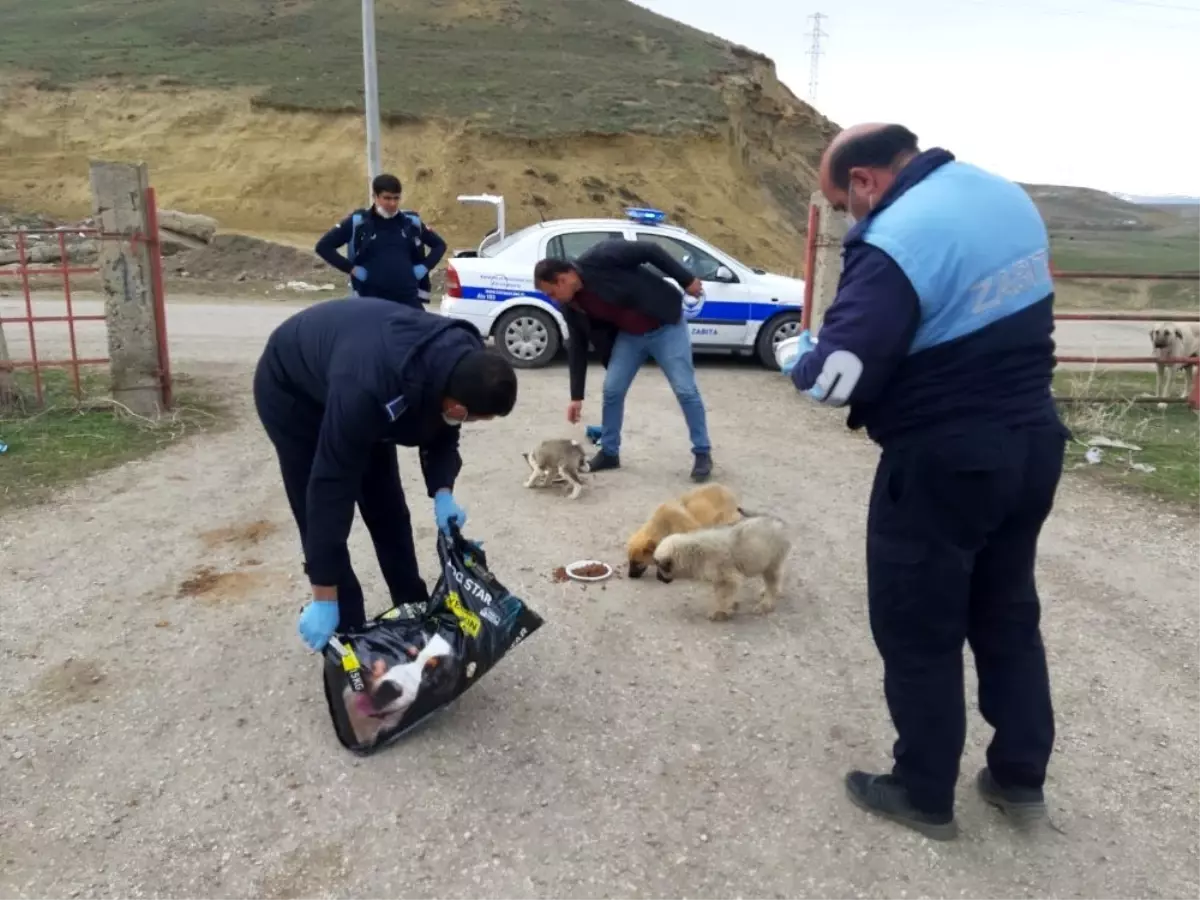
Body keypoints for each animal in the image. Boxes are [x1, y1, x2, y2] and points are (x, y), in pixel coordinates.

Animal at [652, 518, 792, 624]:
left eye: (659, 566)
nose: (658, 577)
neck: (693, 553)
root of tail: (781, 526)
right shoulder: (719, 579)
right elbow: (722, 594)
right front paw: (730, 606)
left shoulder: (728, 577)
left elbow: (723, 596)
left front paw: (720, 612)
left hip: (772, 563)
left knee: (772, 583)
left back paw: (766, 604)